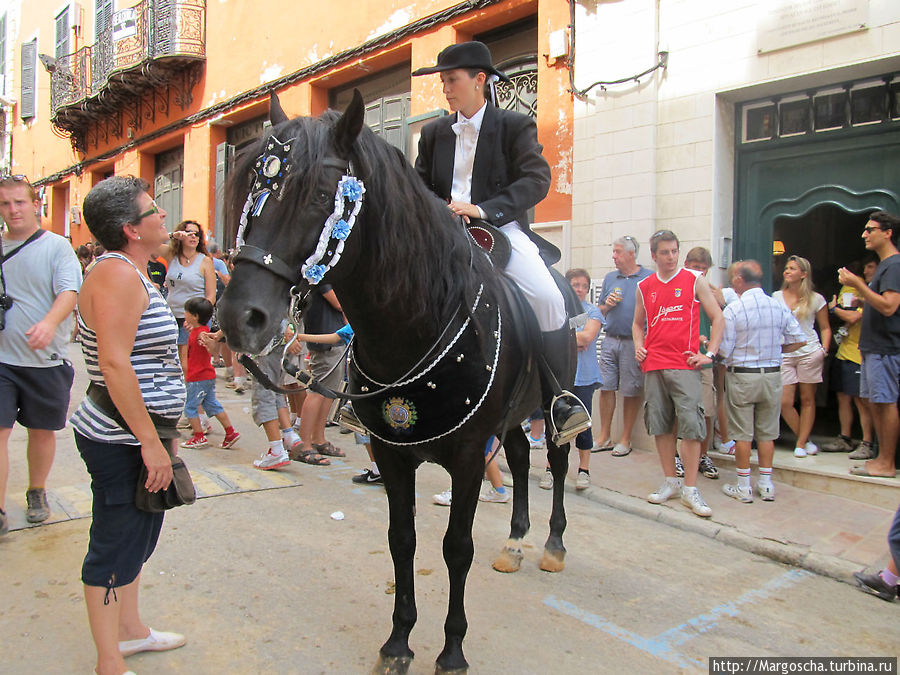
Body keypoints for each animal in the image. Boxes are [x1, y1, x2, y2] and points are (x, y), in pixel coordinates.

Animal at [216, 92, 576, 672]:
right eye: (253, 189)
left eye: (322, 195)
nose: (237, 318)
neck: (420, 321)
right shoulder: (392, 454)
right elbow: (401, 539)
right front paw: (399, 640)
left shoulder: (468, 456)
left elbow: (456, 547)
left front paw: (452, 650)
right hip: (510, 417)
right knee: (522, 458)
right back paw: (515, 543)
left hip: (552, 404)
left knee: (558, 462)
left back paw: (552, 547)